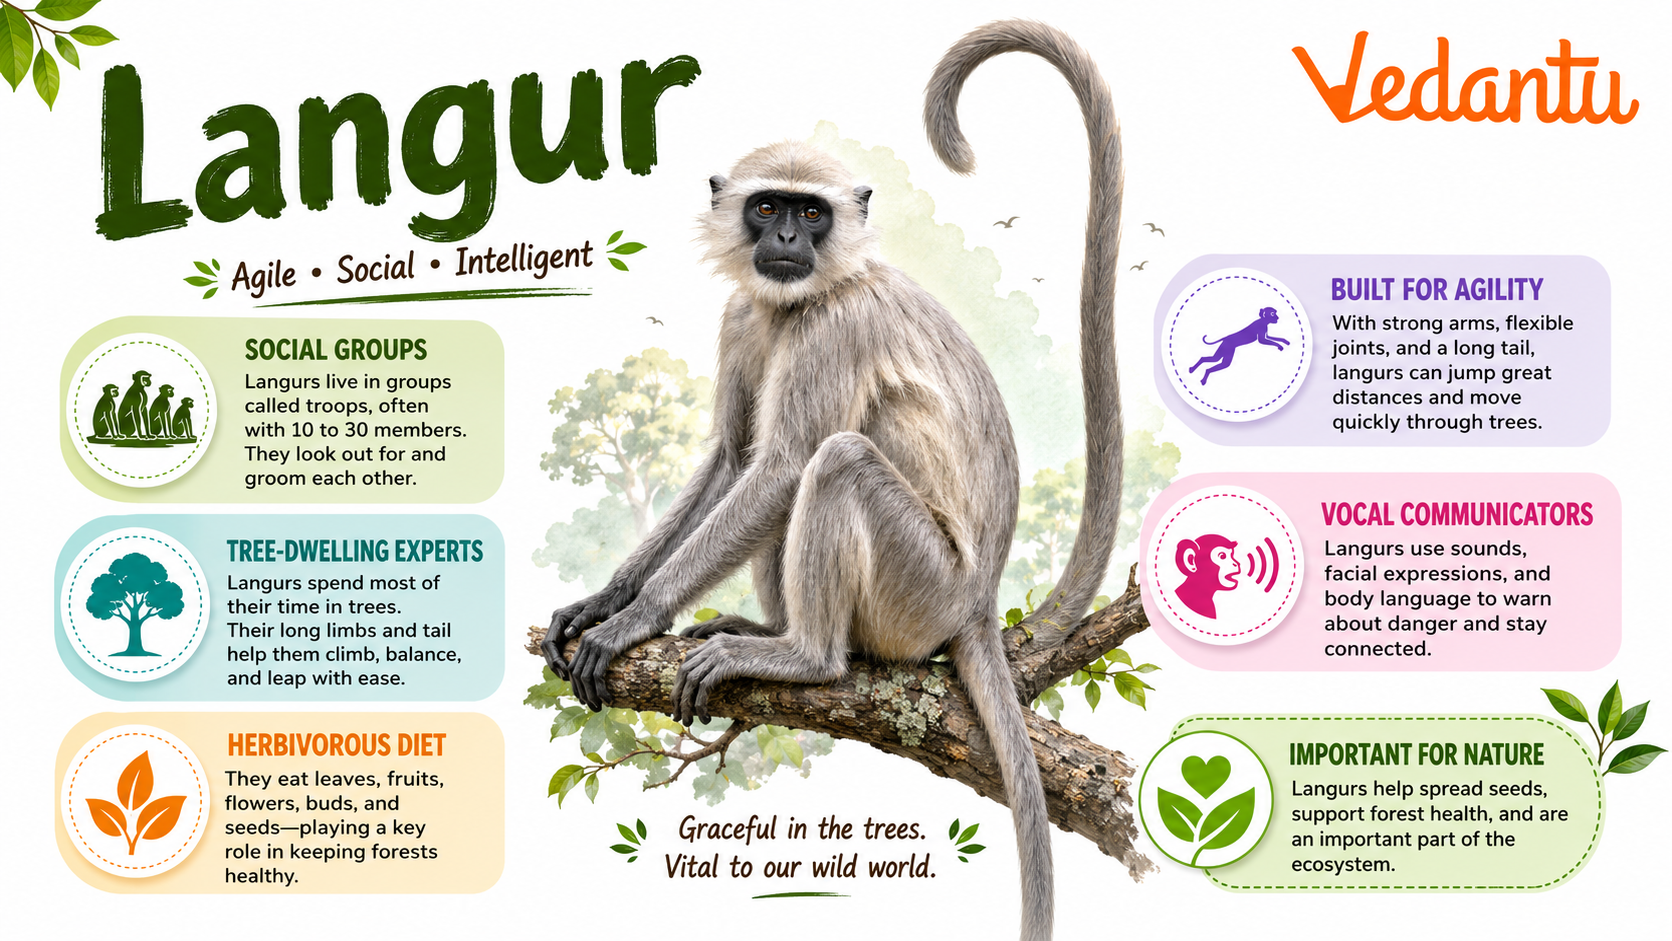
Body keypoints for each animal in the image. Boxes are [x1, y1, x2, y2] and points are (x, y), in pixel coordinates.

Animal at [542, 21, 1124, 941]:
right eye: (768, 207)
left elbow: (780, 465)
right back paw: (761, 629)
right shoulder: (746, 313)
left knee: (836, 460)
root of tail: (979, 602)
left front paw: (636, 618)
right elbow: (734, 456)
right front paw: (607, 599)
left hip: (921, 590)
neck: (805, 295)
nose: (786, 242)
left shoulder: (834, 326)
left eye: (811, 213)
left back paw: (806, 656)